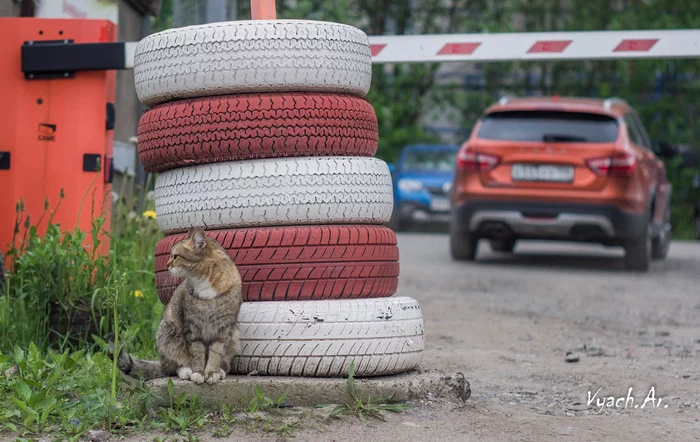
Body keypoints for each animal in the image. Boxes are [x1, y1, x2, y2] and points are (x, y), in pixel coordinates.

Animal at [108, 226, 242, 386]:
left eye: (176, 256)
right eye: (170, 256)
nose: (167, 265)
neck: (204, 281)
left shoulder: (223, 327)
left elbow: (216, 352)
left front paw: (212, 372)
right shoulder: (191, 326)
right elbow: (197, 352)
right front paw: (198, 373)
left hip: (234, 336)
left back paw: (221, 371)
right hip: (168, 334)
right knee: (173, 366)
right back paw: (186, 371)